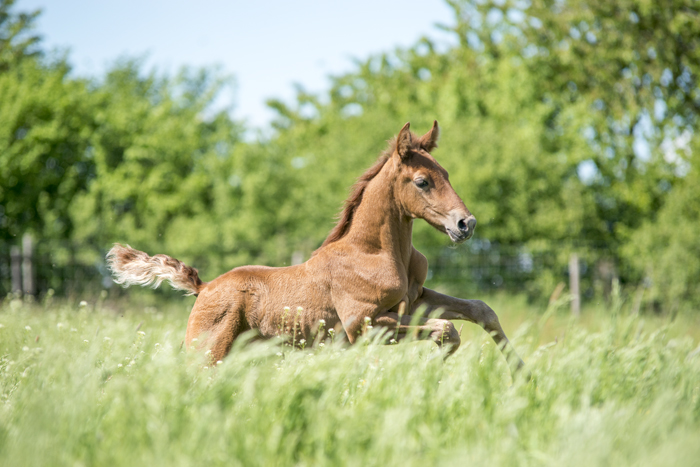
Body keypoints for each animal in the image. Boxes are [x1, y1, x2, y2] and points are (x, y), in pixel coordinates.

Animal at [106, 122, 524, 372]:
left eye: (447, 174)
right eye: (422, 181)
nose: (465, 224)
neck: (376, 252)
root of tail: (203, 286)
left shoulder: (416, 298)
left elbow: (479, 310)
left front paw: (521, 371)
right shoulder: (362, 325)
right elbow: (446, 330)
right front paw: (433, 372)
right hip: (207, 354)